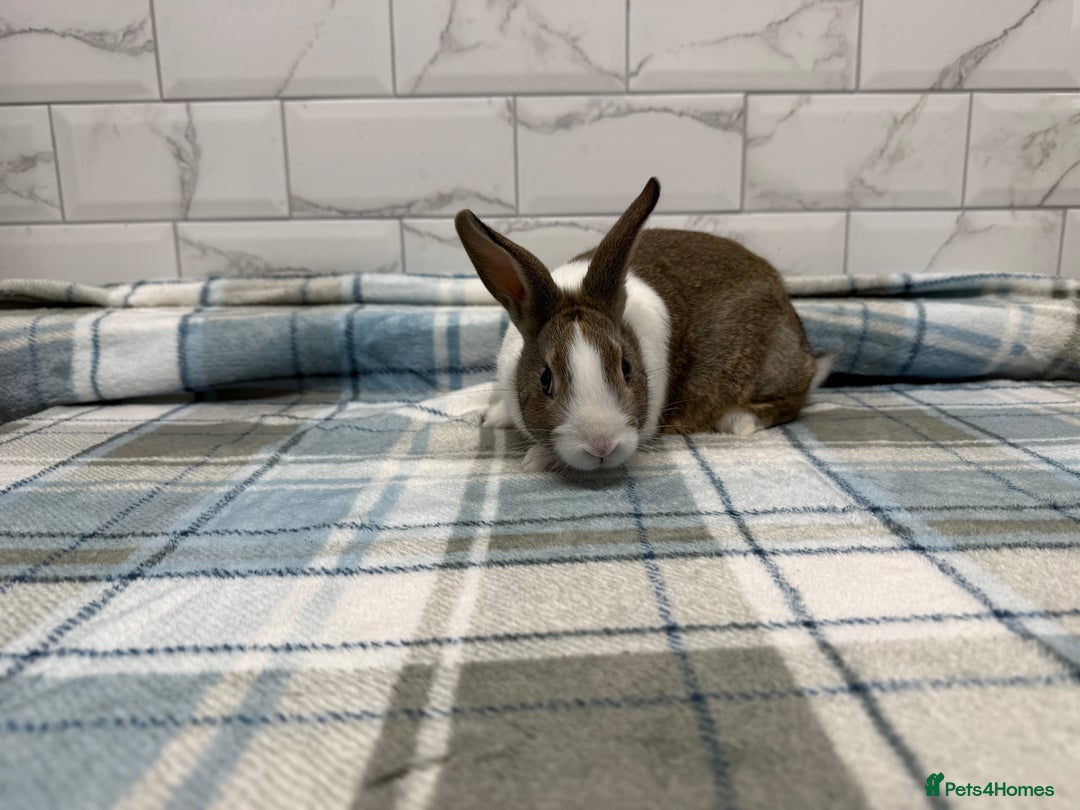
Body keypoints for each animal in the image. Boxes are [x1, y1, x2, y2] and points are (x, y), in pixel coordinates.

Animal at [454, 177, 827, 473]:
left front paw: (536, 459)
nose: (601, 446)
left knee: (792, 400)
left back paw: (738, 420)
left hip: (771, 366)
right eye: (545, 380)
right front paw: (495, 417)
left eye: (627, 368)